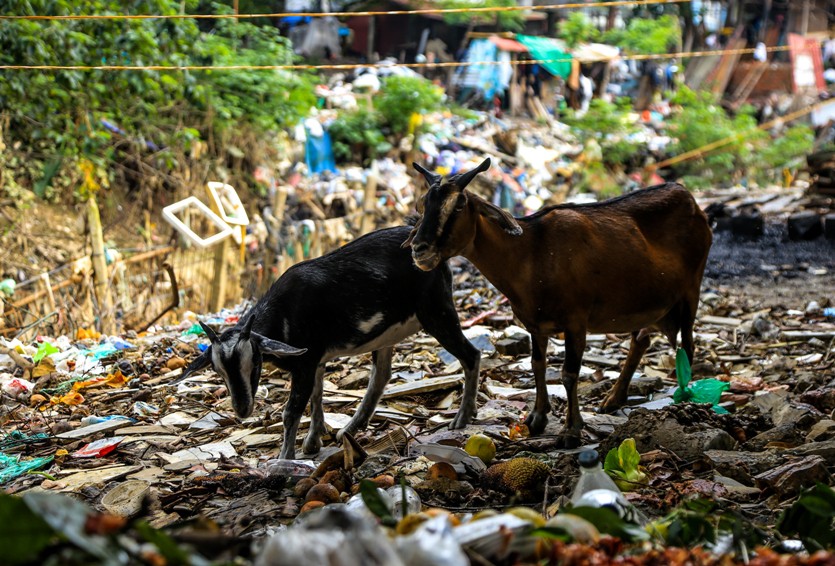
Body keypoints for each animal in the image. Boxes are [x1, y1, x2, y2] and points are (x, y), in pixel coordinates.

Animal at [185, 226, 480, 462]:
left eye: (254, 363)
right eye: (219, 371)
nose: (242, 409)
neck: (283, 314)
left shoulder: (305, 362)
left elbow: (292, 411)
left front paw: (284, 458)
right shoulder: (315, 359)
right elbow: (317, 397)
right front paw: (313, 441)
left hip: (436, 310)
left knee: (471, 354)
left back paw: (462, 417)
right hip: (389, 330)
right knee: (381, 375)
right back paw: (350, 429)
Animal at [404, 160, 712, 448]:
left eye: (458, 206)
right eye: (422, 204)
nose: (419, 250)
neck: (531, 252)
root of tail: (689, 198)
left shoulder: (576, 321)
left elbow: (568, 374)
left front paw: (571, 431)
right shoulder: (535, 324)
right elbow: (537, 364)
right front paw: (537, 417)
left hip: (690, 290)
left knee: (688, 346)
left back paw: (683, 399)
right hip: (644, 300)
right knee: (641, 341)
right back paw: (614, 398)